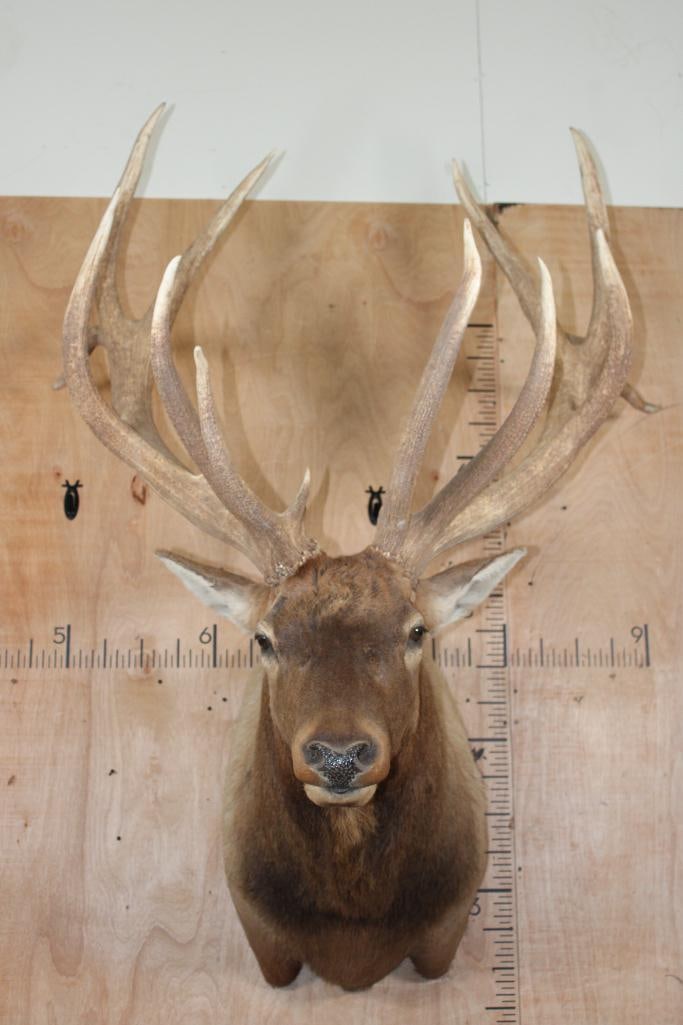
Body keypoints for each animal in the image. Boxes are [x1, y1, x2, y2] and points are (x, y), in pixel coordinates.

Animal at [61, 106, 642, 990]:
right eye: (264, 639)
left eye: (416, 631)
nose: (339, 753)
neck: (354, 938)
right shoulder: (263, 940)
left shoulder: (445, 930)